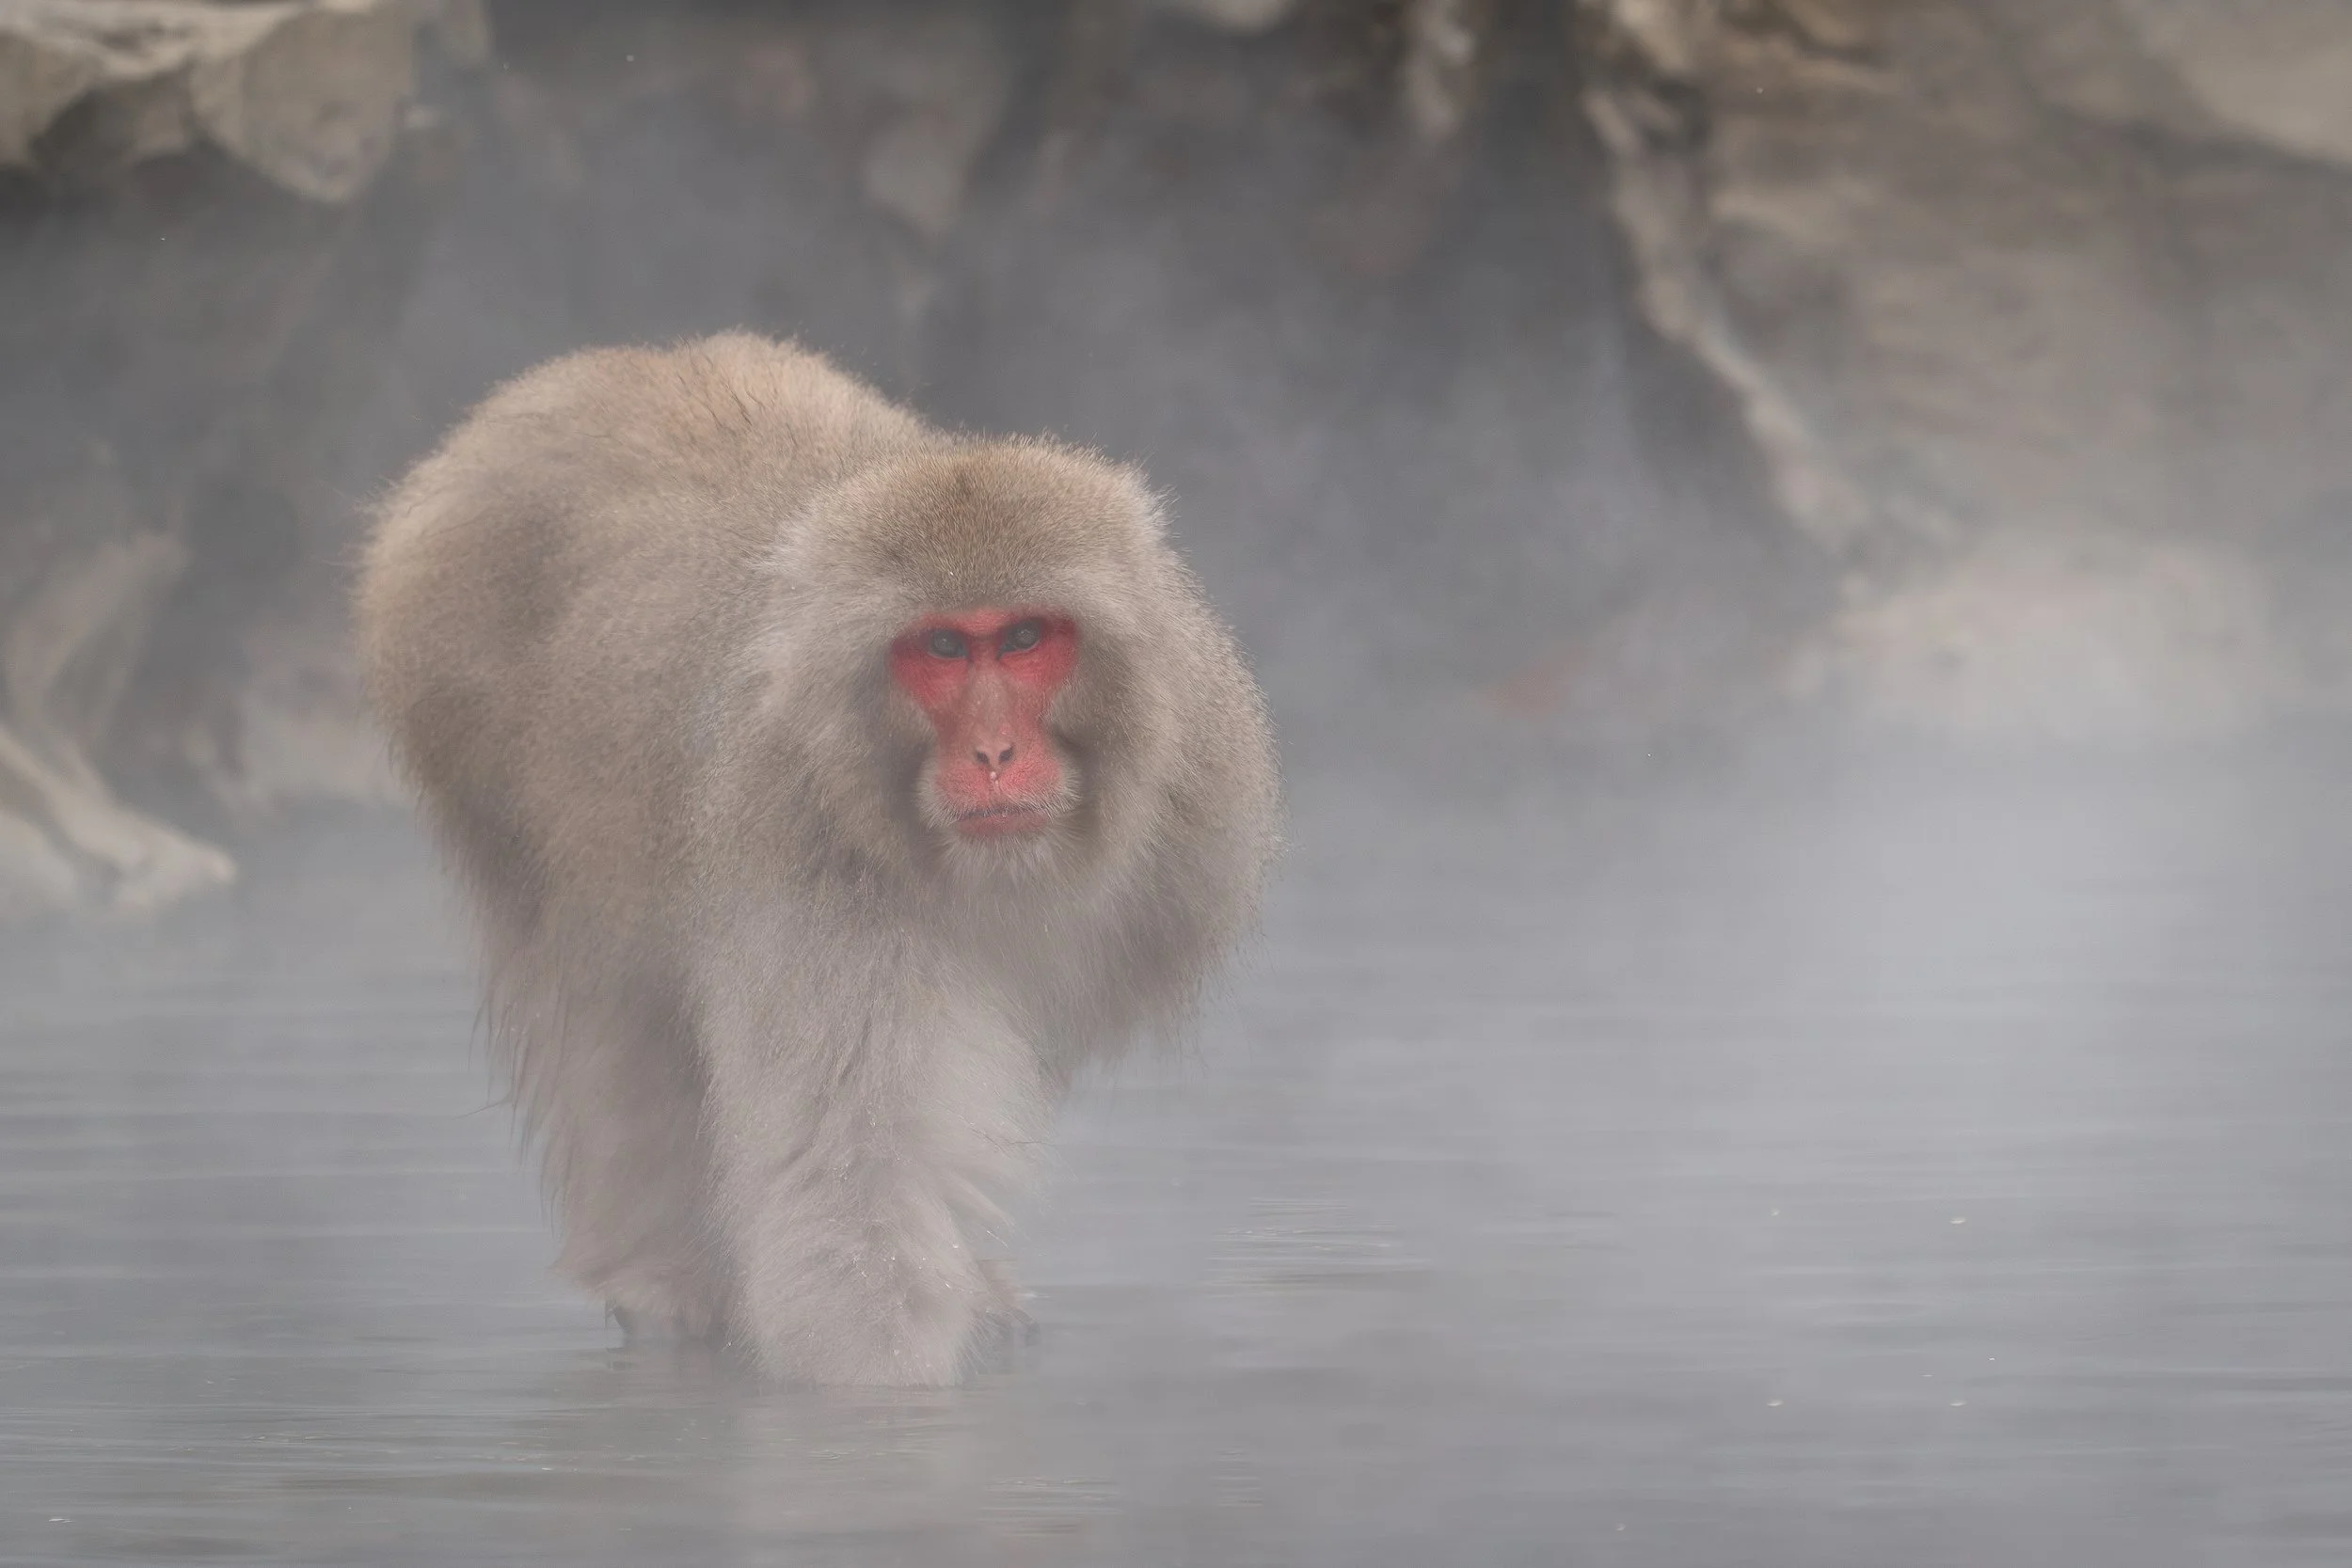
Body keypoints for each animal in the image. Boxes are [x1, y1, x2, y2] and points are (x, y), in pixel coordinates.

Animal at [355, 334, 1279, 1386]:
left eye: (1024, 638)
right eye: (943, 646)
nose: (994, 753)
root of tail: (605, 365)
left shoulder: (1185, 821)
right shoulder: (804, 848)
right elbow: (853, 1171)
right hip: (470, 730)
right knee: (608, 1005)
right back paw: (661, 1271)